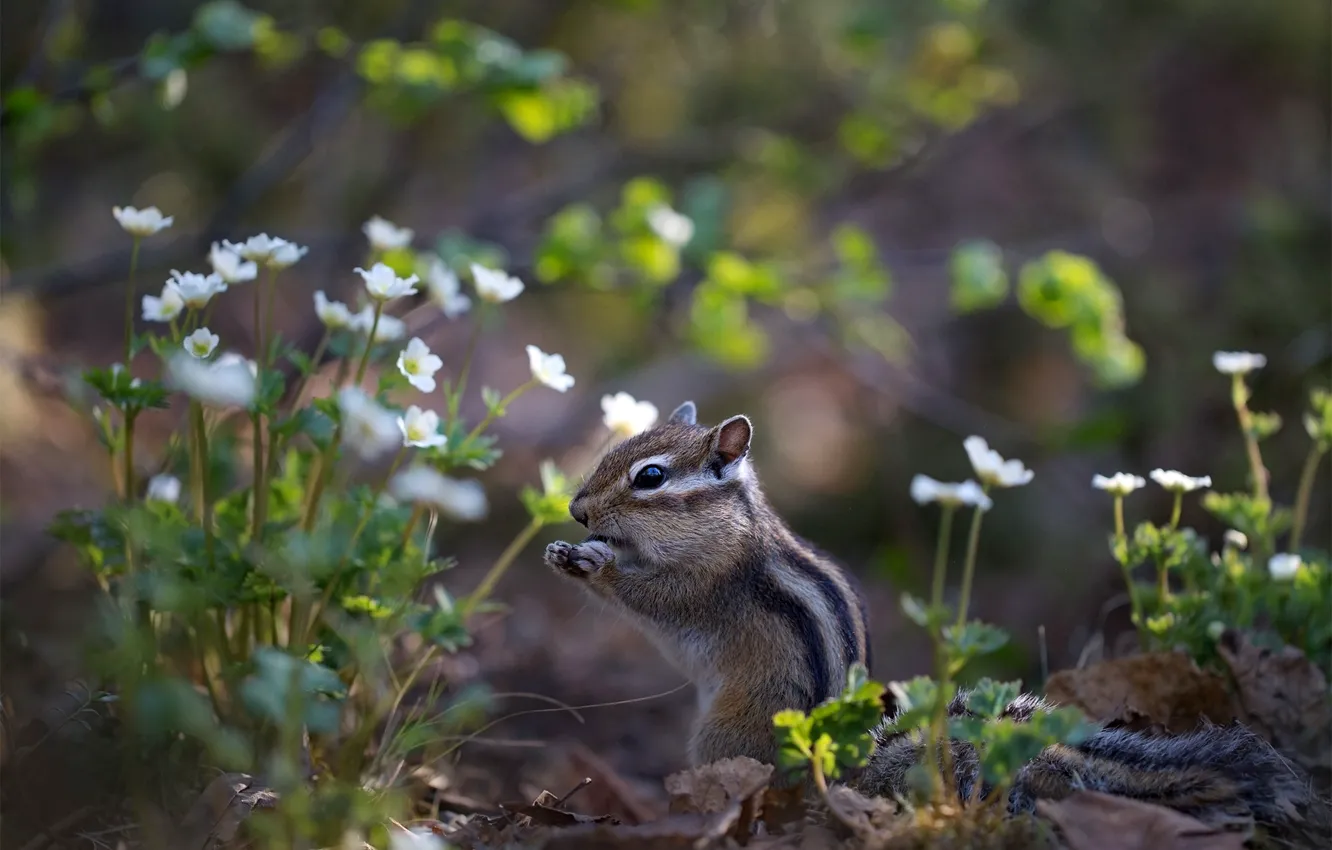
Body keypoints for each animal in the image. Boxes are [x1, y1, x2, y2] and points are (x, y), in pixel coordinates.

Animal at [544, 402, 1331, 841]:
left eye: (650, 477)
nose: (577, 510)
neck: (726, 526)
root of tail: (845, 758)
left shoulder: (707, 582)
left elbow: (655, 600)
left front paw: (586, 562)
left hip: (725, 736)